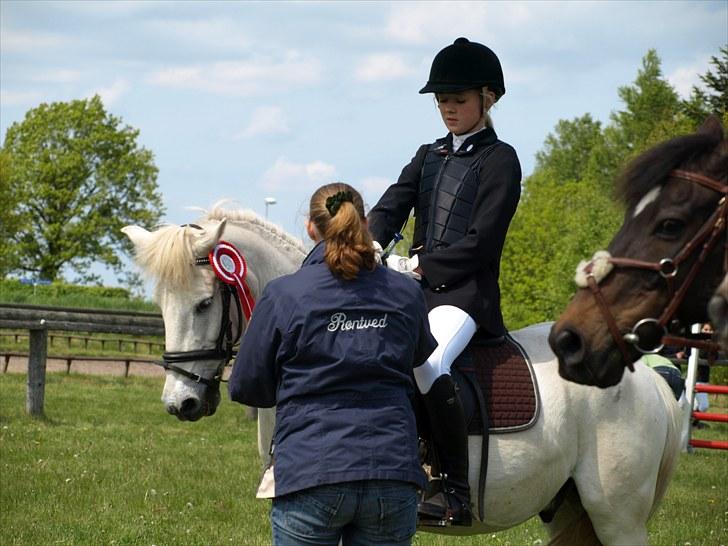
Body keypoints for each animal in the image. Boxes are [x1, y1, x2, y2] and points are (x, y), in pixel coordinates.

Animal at [123, 205, 684, 544]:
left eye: (202, 305)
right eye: (161, 305)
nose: (181, 403)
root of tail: (648, 379)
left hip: (618, 517)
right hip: (574, 510)